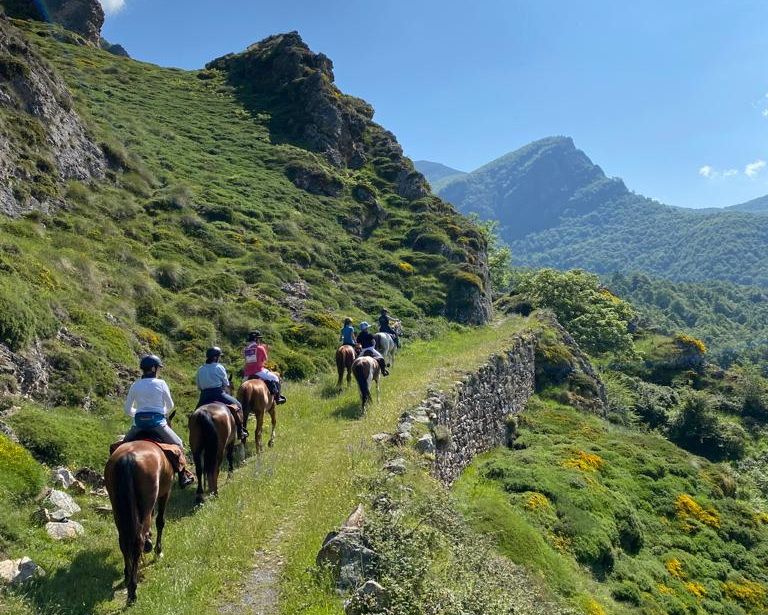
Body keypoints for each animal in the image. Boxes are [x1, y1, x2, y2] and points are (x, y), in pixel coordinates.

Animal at [102, 438, 172, 608]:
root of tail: (128, 458)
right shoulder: (165, 493)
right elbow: (160, 521)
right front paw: (157, 550)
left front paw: (150, 542)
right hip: (147, 501)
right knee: (137, 540)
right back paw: (132, 592)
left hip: (118, 508)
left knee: (124, 540)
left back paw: (128, 576)